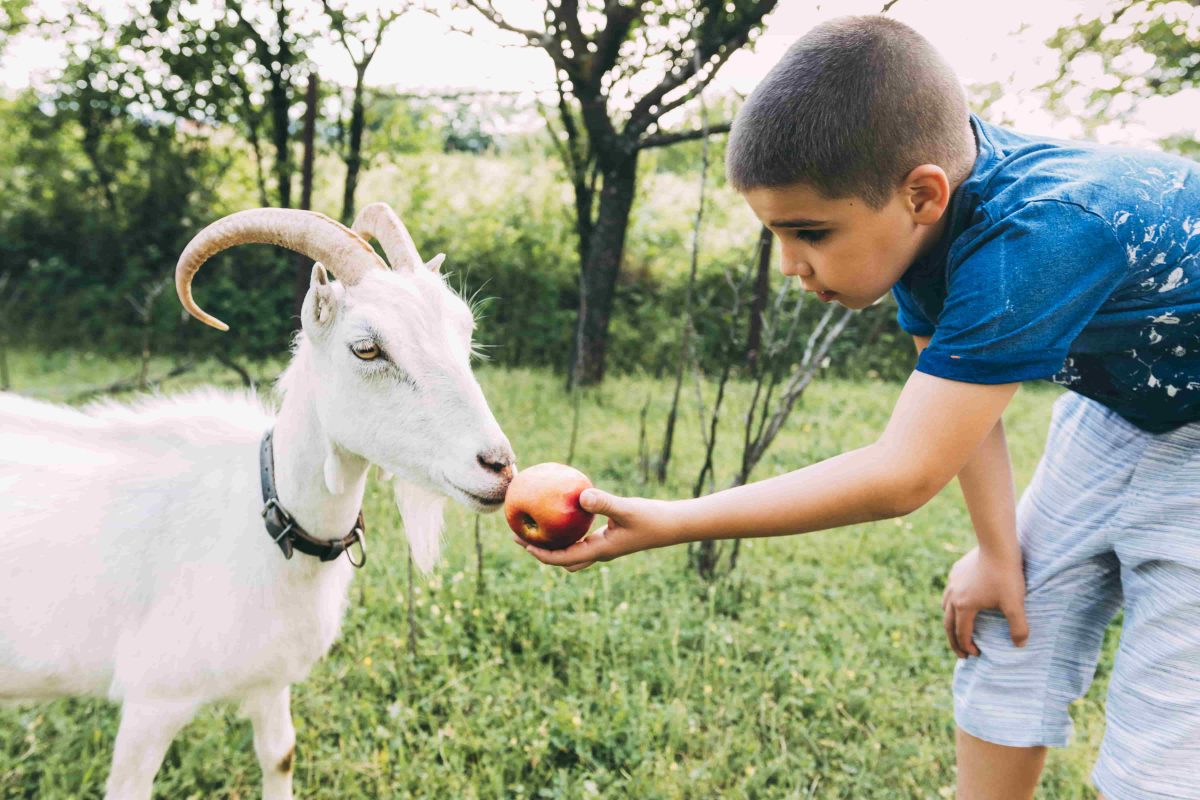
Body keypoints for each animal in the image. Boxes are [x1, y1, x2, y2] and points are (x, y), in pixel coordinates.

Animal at [0, 203, 511, 800]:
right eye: (366, 347)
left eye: (465, 331)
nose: (498, 466)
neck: (266, 522)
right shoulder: (153, 700)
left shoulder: (271, 677)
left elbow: (280, 754)